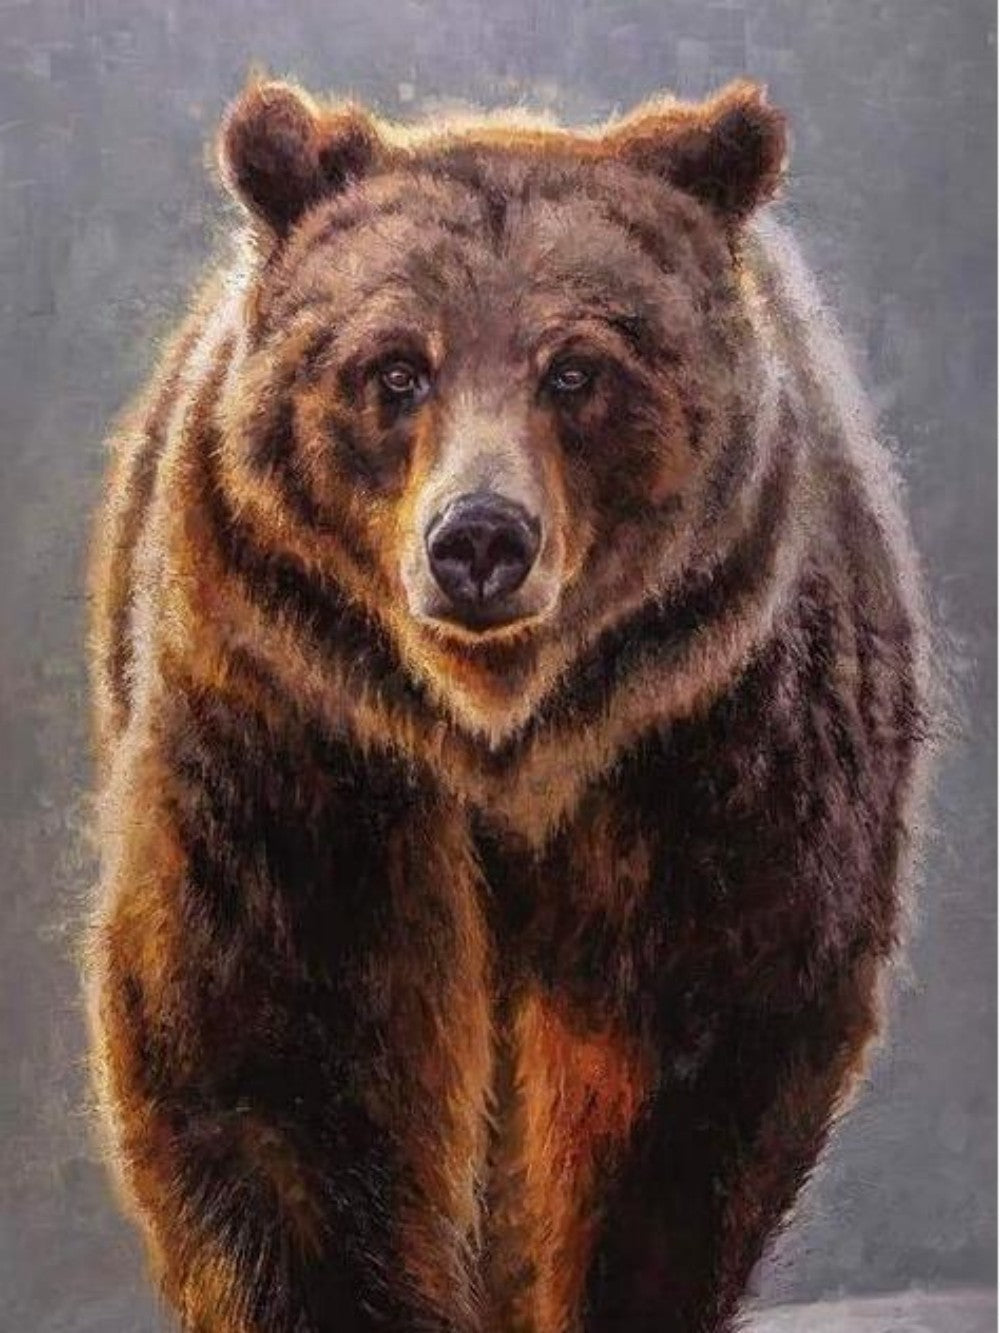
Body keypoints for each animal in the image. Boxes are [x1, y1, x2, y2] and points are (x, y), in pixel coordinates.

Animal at [85, 75, 932, 1333]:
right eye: (395, 369)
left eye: (575, 370)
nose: (479, 539)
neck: (499, 731)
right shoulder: (292, 719)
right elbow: (266, 1035)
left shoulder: (713, 731)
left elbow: (683, 1068)